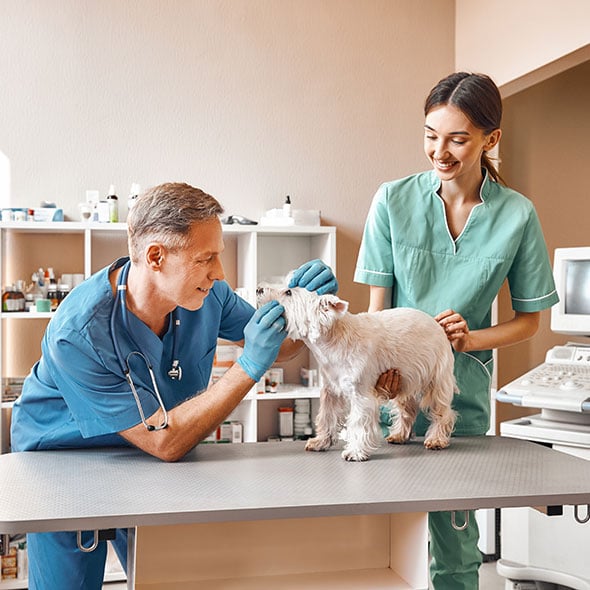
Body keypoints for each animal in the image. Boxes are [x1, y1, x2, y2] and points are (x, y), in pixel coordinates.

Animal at [258, 286, 458, 462]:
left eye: (288, 292)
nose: (258, 289)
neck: (332, 342)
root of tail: (437, 324)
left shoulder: (361, 395)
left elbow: (358, 424)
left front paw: (355, 452)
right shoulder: (331, 390)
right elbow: (327, 417)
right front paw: (320, 441)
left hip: (438, 378)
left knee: (442, 411)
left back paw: (437, 439)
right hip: (405, 378)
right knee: (407, 408)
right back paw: (399, 435)